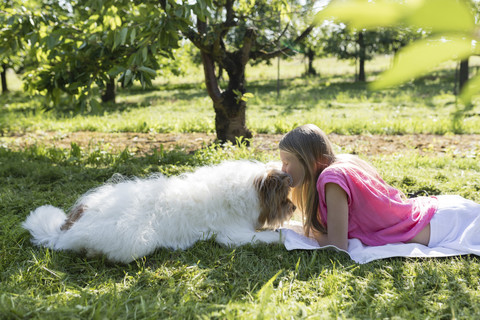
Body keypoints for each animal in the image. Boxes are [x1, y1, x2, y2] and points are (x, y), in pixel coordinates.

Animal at [22, 160, 296, 262]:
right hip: (137, 240)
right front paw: (282, 236)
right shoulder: (233, 235)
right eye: (284, 198)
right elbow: (269, 235)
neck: (247, 190)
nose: (294, 207)